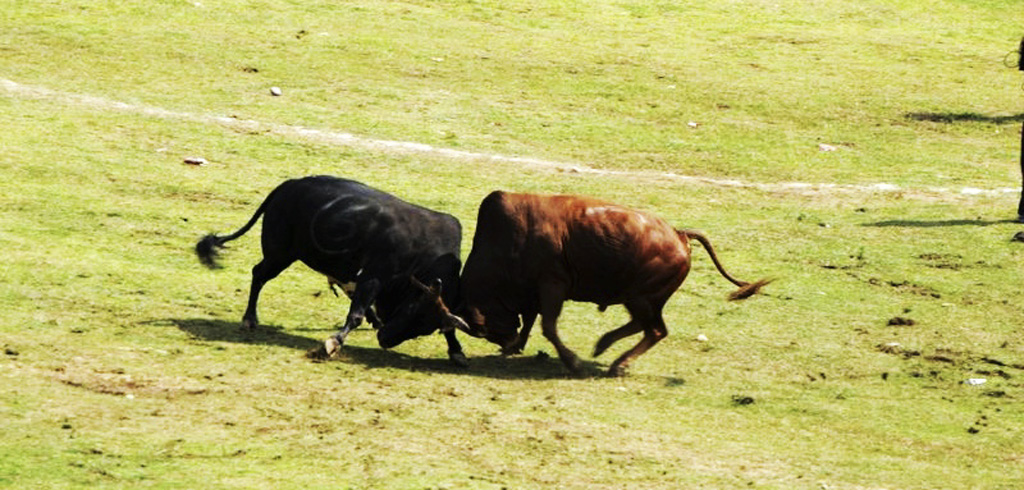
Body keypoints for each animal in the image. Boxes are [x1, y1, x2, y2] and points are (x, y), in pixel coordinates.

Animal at [193, 176, 468, 368]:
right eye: (412, 310)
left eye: (426, 327)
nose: (385, 340)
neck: (423, 251)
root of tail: (288, 185)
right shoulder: (374, 276)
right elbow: (355, 315)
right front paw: (332, 343)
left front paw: (457, 352)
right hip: (279, 254)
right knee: (259, 274)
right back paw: (250, 318)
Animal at [456, 191, 770, 376]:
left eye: (485, 329)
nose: (505, 340)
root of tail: (679, 234)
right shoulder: (537, 293)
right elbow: (534, 319)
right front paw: (518, 346)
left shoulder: (552, 286)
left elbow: (548, 326)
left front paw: (573, 362)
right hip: (639, 299)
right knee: (646, 327)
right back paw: (604, 347)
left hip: (640, 297)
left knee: (655, 330)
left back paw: (618, 363)